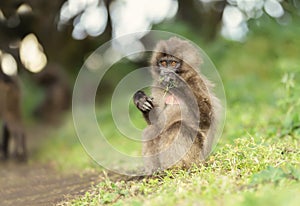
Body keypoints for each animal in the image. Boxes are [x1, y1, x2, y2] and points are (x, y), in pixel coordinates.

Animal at [134, 37, 220, 174]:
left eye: (173, 63)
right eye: (163, 63)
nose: (165, 72)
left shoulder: (196, 82)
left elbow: (206, 119)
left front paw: (177, 81)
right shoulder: (159, 86)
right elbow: (157, 120)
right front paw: (141, 100)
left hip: (195, 156)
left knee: (176, 127)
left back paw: (174, 169)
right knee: (152, 130)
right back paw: (155, 172)